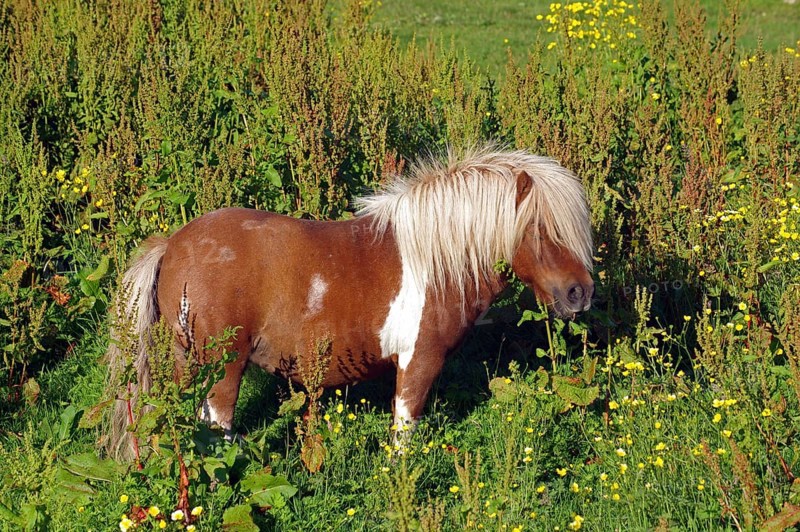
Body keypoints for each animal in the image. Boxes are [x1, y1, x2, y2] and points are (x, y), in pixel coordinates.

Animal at [105, 145, 594, 460]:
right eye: (540, 228)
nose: (581, 293)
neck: (437, 258)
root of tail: (172, 245)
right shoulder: (418, 362)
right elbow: (403, 436)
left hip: (185, 363)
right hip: (223, 368)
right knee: (217, 431)